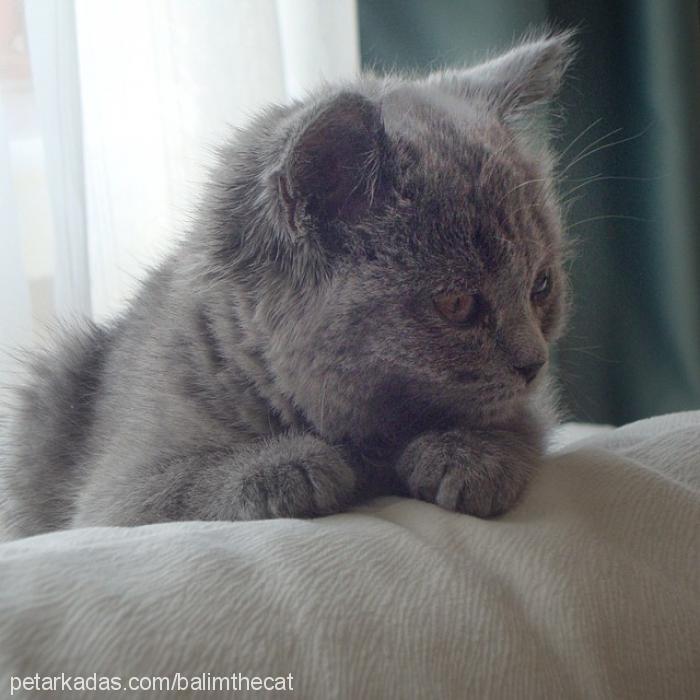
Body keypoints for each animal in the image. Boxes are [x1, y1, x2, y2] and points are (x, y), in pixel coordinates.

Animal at [1, 31, 576, 536]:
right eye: (456, 303)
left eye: (541, 286)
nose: (533, 363)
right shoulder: (116, 490)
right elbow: (173, 488)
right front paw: (289, 466)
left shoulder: (526, 407)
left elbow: (525, 422)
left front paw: (471, 455)